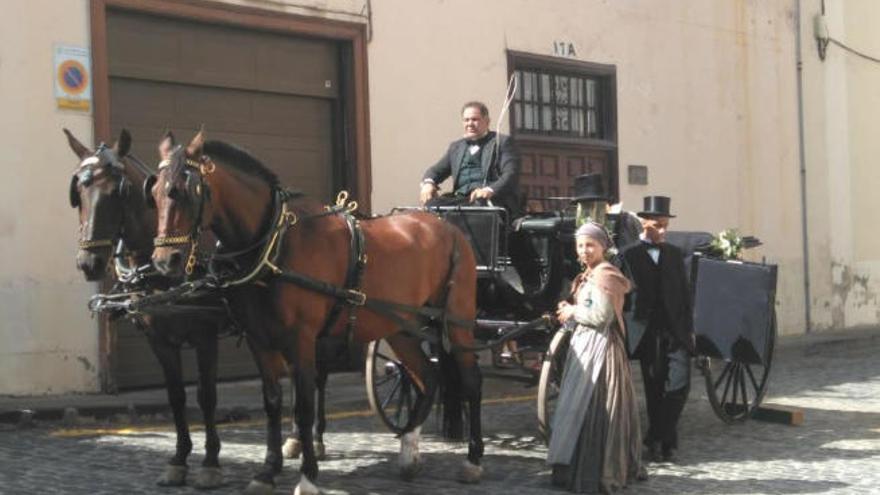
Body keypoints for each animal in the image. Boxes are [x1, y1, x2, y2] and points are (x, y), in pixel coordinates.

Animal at [148, 132, 484, 495]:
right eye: (154, 193)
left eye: (184, 192)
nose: (165, 262)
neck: (275, 244)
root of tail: (448, 228)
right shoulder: (258, 338)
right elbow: (273, 402)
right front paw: (267, 471)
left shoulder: (301, 338)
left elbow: (304, 407)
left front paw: (308, 476)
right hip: (402, 326)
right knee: (427, 377)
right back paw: (409, 453)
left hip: (457, 322)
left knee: (470, 380)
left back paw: (473, 460)